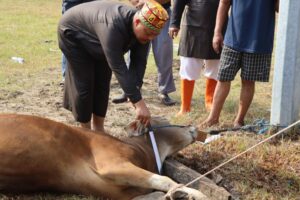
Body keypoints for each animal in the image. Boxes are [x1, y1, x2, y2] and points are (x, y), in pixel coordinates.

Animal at [0, 114, 206, 200]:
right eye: (165, 120)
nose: (192, 126)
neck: (142, 150)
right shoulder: (112, 164)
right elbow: (164, 180)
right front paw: (196, 193)